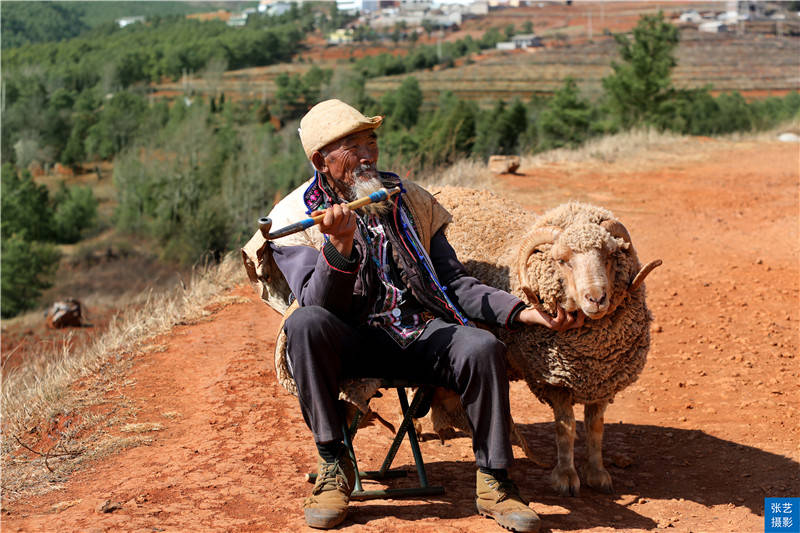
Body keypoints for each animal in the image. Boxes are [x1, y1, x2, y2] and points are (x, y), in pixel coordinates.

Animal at [432, 187, 664, 494]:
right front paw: (565, 477)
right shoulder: (555, 381)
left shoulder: (602, 382)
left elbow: (596, 428)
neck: (592, 350)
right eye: (563, 260)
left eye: (610, 255)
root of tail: (450, 189)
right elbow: (565, 429)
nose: (597, 298)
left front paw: (597, 473)